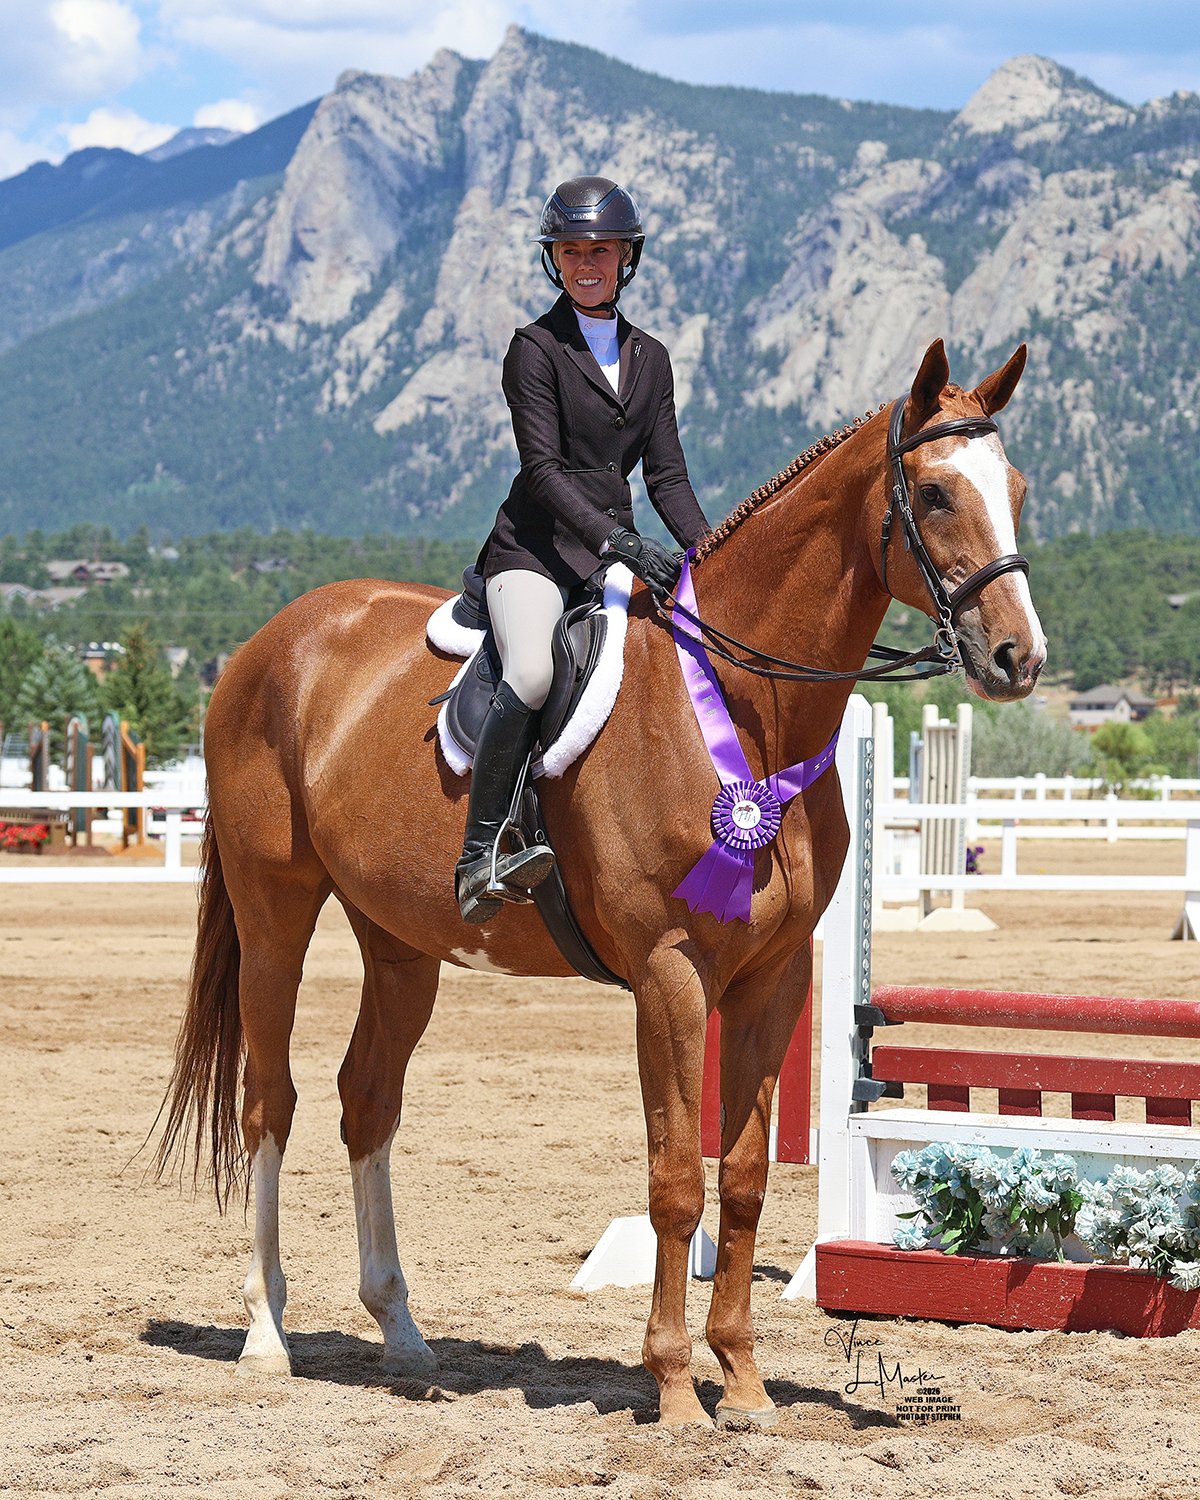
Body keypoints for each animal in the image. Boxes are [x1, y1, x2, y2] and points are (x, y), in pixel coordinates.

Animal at [156, 338, 1045, 1429]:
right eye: (933, 493)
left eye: (1014, 489)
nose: (1017, 656)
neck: (746, 709)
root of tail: (269, 643)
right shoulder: (669, 974)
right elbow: (673, 1182)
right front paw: (672, 1387)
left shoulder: (775, 977)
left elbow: (741, 1178)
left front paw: (744, 1384)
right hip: (275, 906)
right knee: (267, 1101)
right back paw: (266, 1335)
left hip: (400, 942)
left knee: (366, 1099)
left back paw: (402, 1333)